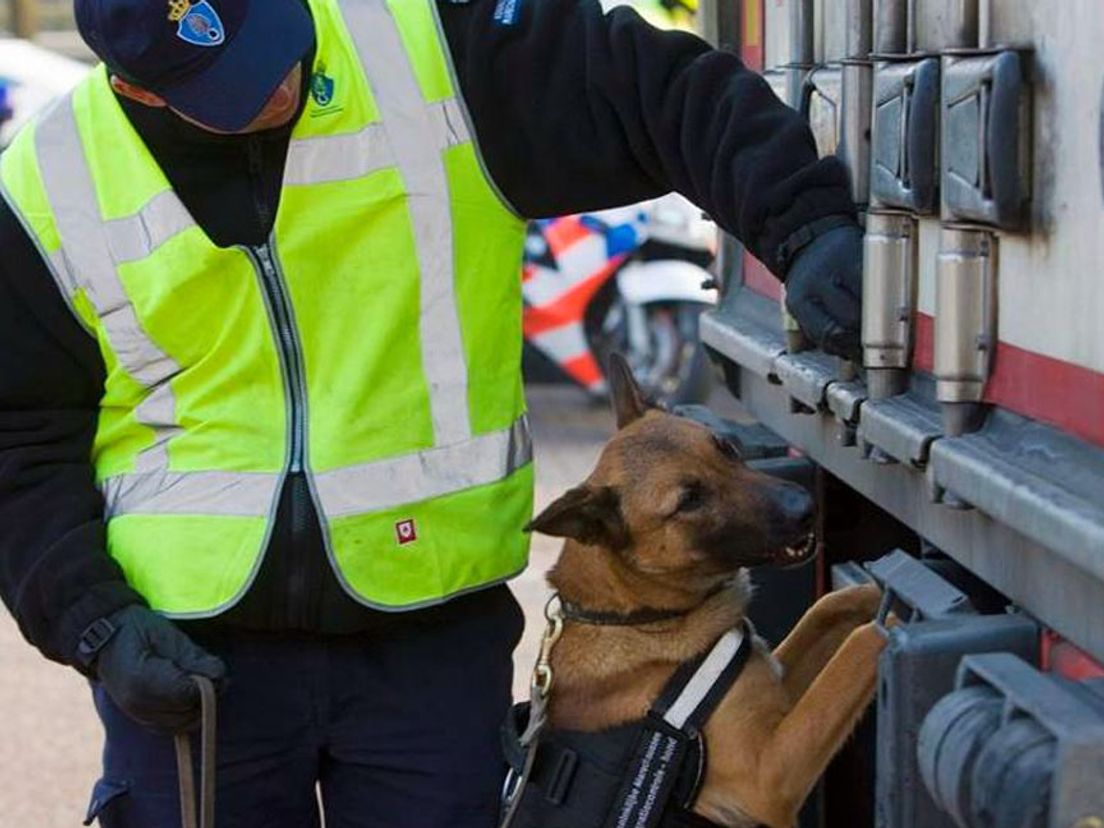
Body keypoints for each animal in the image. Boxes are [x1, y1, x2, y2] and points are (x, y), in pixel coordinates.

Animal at [527, 357, 887, 828]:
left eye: (727, 448)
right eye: (688, 502)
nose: (806, 507)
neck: (638, 616)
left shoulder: (779, 689)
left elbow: (827, 605)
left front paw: (873, 593)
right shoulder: (770, 773)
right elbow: (852, 657)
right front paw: (893, 620)